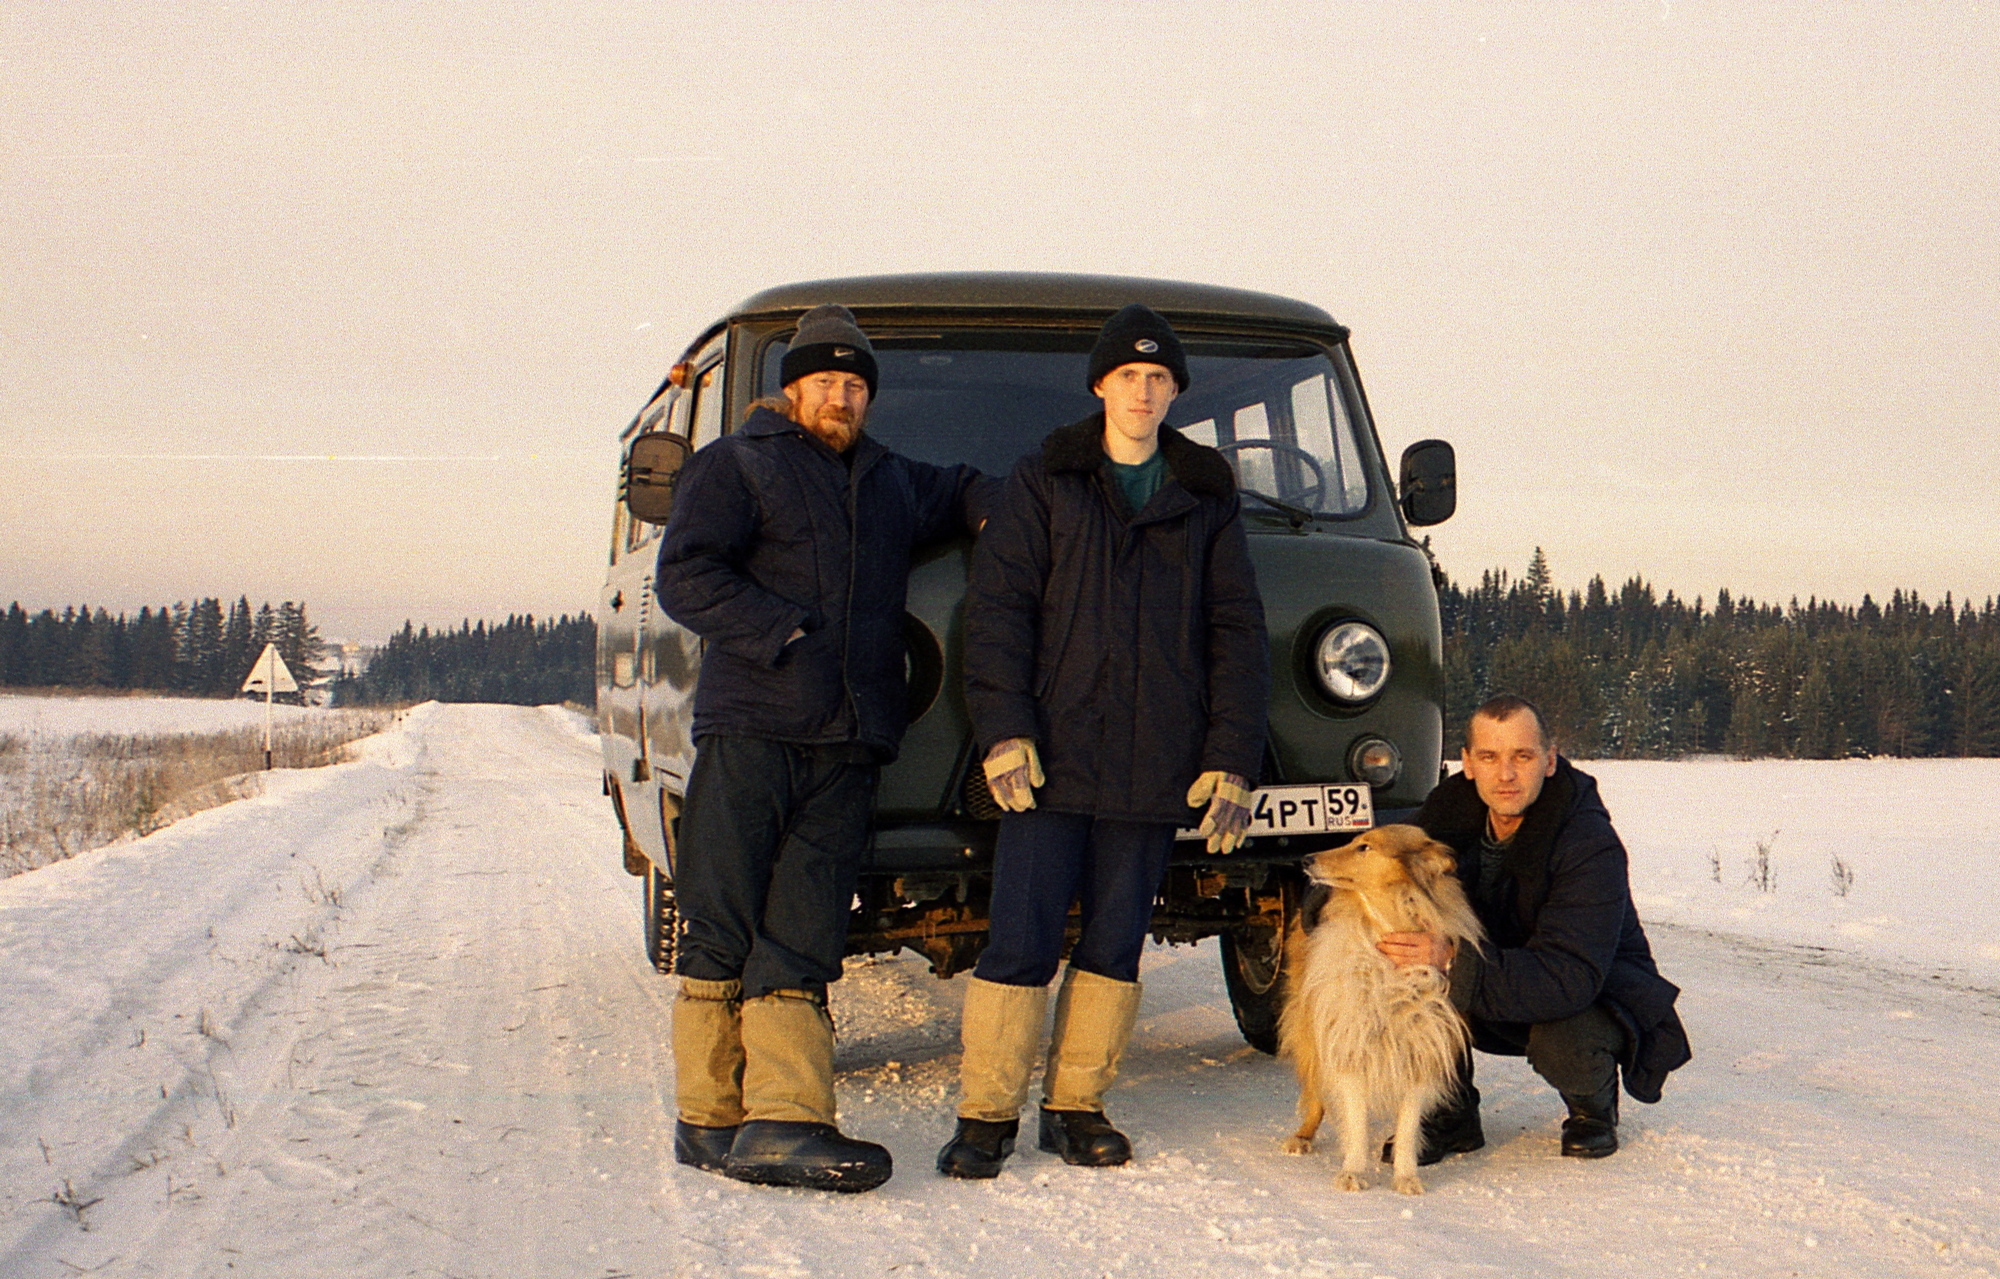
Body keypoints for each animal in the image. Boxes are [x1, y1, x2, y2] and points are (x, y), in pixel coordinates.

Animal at [1280, 823, 1488, 1191]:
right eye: (1352, 840)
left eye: (1364, 847)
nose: (1306, 859)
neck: (1388, 926)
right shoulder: (1351, 1038)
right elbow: (1356, 1119)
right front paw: (1352, 1172)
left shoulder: (1422, 1046)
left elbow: (1407, 1125)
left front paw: (1406, 1177)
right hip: (1312, 1022)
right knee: (1315, 1086)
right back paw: (1302, 1137)